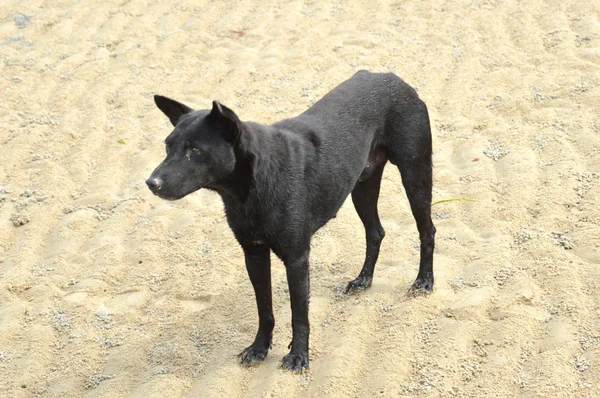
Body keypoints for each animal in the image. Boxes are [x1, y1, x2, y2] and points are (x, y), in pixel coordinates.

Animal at [145, 70, 436, 372]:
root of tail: (394, 78)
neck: (250, 189)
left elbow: (299, 314)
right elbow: (264, 309)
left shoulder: (297, 258)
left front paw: (298, 356)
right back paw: (363, 279)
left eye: (194, 149)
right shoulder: (254, 254)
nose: (151, 183)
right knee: (375, 232)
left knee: (427, 230)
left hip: (415, 173)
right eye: (167, 146)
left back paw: (424, 281)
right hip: (362, 185)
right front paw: (259, 348)